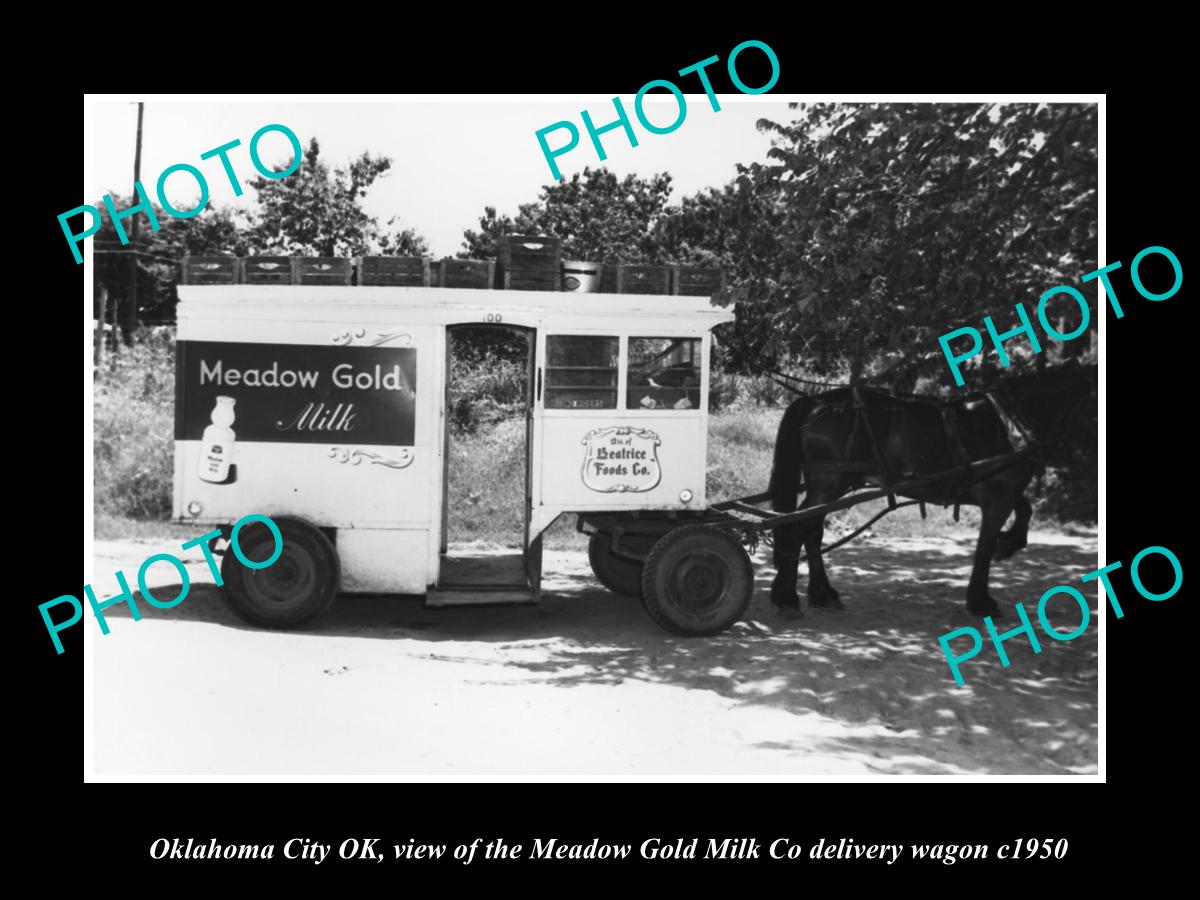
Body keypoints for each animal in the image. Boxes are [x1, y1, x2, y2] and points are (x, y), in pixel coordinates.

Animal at [768, 362, 1099, 619]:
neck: (1008, 422)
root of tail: (815, 402)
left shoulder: (1002, 490)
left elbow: (1025, 509)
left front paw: (1008, 544)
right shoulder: (998, 496)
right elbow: (985, 546)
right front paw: (981, 601)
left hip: (828, 486)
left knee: (811, 530)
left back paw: (822, 593)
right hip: (829, 483)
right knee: (798, 527)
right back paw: (788, 597)